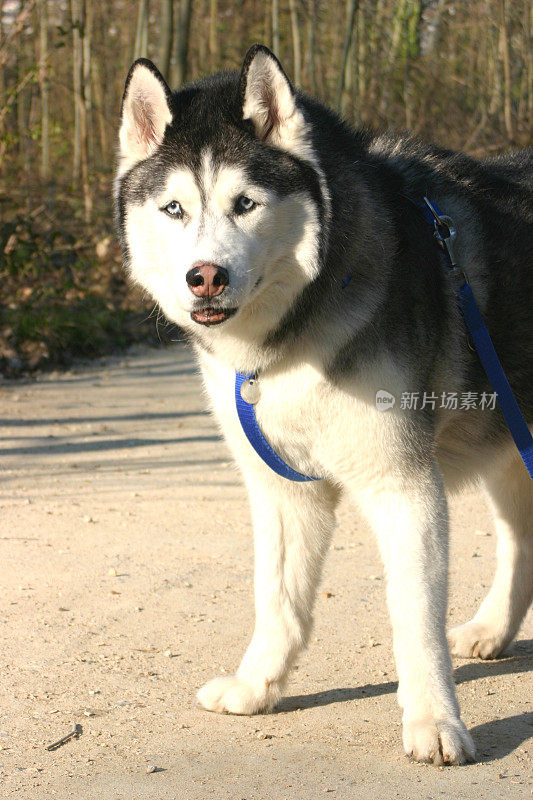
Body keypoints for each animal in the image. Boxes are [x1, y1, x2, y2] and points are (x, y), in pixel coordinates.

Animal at [116, 45, 532, 768]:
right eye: (172, 208)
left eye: (245, 204)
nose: (205, 277)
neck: (293, 334)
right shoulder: (284, 492)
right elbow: (279, 601)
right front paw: (258, 686)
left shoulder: (402, 485)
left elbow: (412, 619)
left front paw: (434, 720)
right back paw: (490, 629)